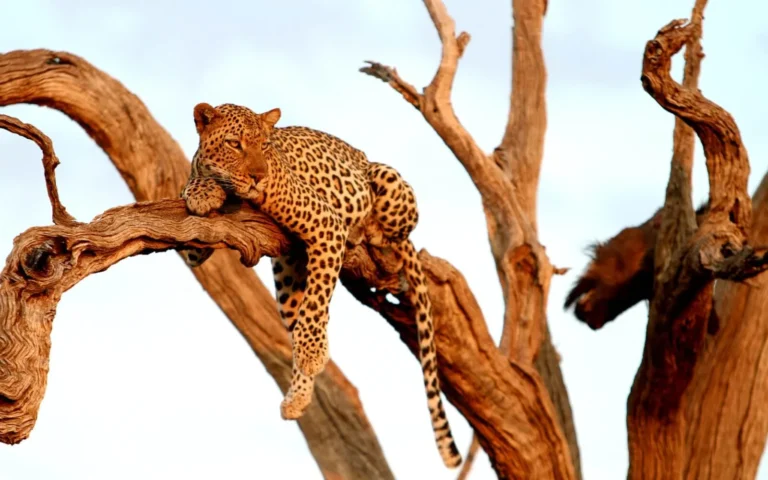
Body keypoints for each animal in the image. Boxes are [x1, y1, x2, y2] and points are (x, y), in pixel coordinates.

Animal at [177, 102, 462, 469]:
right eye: (234, 145)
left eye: (265, 146)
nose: (258, 176)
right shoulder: (194, 242)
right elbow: (194, 194)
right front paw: (202, 190)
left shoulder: (326, 222)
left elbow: (316, 304)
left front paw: (314, 354)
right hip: (288, 283)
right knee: (297, 321)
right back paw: (297, 400)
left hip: (385, 178)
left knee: (394, 235)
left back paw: (369, 231)